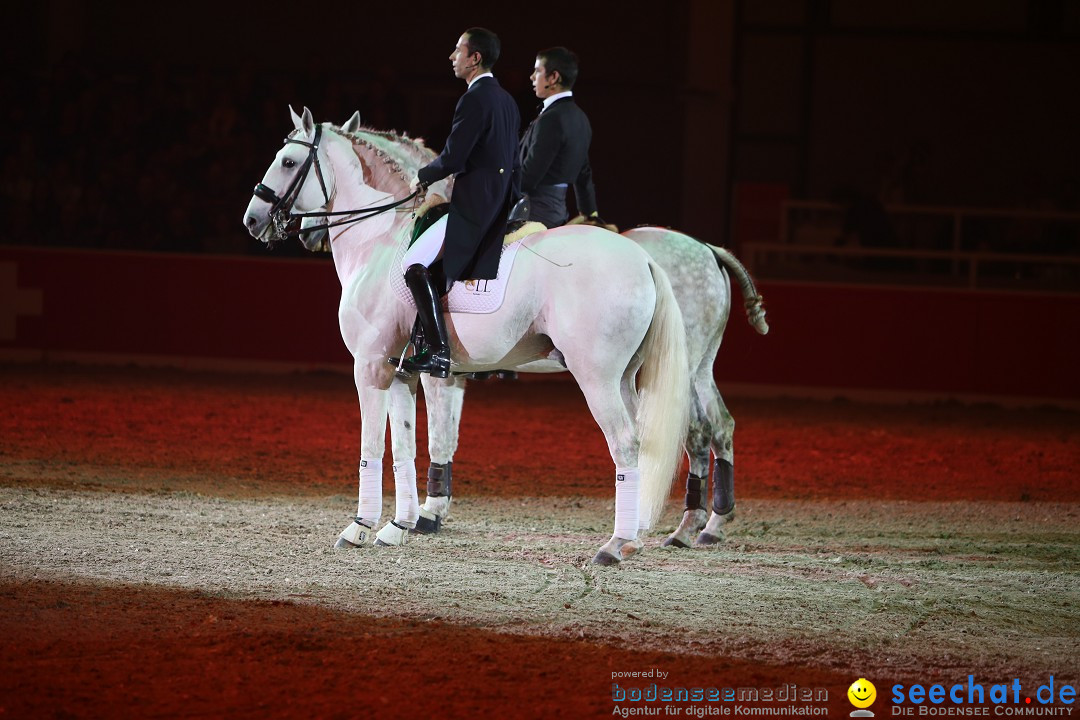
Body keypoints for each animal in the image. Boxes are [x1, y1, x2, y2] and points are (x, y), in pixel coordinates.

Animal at [243, 108, 691, 561]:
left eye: (288, 162)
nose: (253, 220)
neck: (380, 238)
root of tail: (644, 259)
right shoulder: (402, 371)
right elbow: (404, 447)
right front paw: (399, 526)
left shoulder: (370, 366)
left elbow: (373, 445)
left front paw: (361, 526)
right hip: (626, 378)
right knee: (644, 444)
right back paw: (635, 536)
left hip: (596, 378)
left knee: (625, 443)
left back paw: (616, 545)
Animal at [414, 227, 768, 548]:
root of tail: (708, 249)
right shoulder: (454, 374)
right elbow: (446, 436)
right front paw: (436, 508)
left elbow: (429, 437)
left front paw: (427, 513)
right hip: (697, 368)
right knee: (717, 427)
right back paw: (706, 525)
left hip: (670, 369)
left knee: (692, 433)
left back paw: (673, 529)